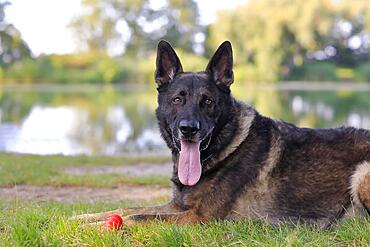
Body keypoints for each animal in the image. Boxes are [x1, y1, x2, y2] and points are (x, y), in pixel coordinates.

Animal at [75, 40, 370, 228]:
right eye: (177, 99)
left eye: (208, 102)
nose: (189, 129)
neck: (227, 146)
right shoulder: (178, 207)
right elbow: (125, 209)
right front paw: (83, 218)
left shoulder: (197, 217)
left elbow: (137, 218)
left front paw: (94, 227)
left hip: (361, 174)